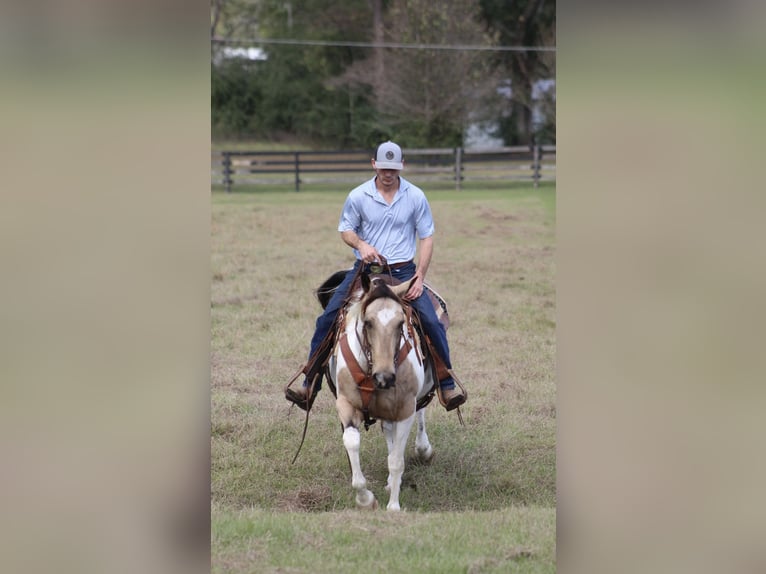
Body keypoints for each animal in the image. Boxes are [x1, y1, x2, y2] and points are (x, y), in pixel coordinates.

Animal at [328, 274, 438, 512]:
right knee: (388, 432)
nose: (385, 377)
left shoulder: (405, 410)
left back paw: (423, 449)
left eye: (400, 323)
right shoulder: (346, 404)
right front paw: (366, 499)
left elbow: (396, 461)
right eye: (368, 322)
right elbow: (352, 442)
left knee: (419, 415)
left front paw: (393, 507)